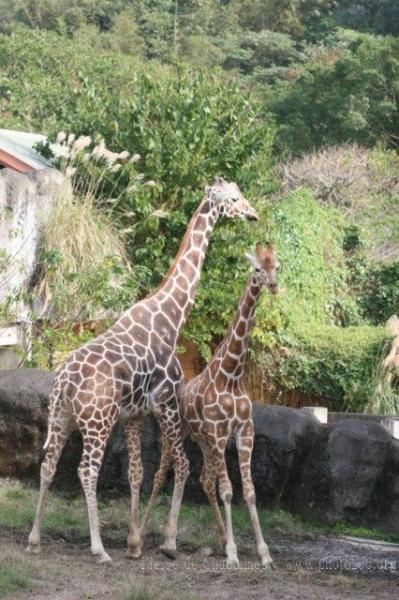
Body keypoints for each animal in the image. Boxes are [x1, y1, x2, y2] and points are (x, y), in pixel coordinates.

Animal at [25, 177, 260, 564]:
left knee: (48, 465)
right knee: (86, 470)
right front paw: (168, 542)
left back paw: (34, 538)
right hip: (97, 421)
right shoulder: (166, 404)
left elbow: (136, 473)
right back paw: (98, 547)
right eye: (234, 197)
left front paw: (134, 543)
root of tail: (63, 381)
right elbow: (181, 466)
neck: (172, 316)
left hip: (61, 419)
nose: (253, 213)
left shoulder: (133, 416)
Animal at [143, 243, 278, 568]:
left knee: (204, 479)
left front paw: (263, 553)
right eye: (257, 268)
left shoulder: (243, 431)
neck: (231, 375)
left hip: (204, 442)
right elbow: (228, 490)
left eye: (277, 266)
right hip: (176, 434)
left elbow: (249, 492)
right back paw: (144, 537)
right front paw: (233, 554)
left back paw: (219, 538)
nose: (273, 285)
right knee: (162, 474)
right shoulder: (219, 431)